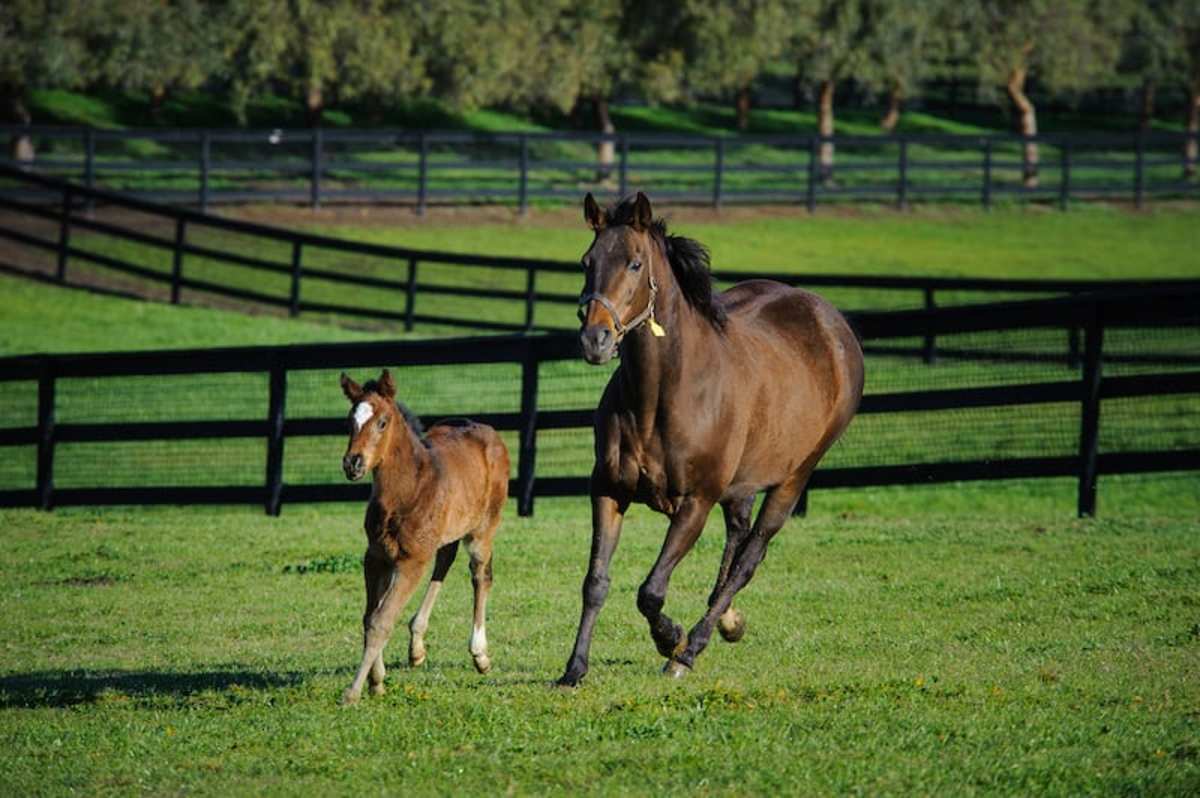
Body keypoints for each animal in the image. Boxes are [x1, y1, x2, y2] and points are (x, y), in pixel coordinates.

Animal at [340, 369, 508, 705]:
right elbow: (370, 616)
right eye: (350, 421)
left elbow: (381, 620)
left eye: (382, 422)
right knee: (444, 561)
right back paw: (416, 644)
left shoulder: (411, 561)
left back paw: (480, 654)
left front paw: (354, 692)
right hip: (446, 532)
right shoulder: (375, 557)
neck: (408, 489)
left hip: (483, 529)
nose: (353, 463)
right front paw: (377, 681)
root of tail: (489, 432)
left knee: (480, 576)